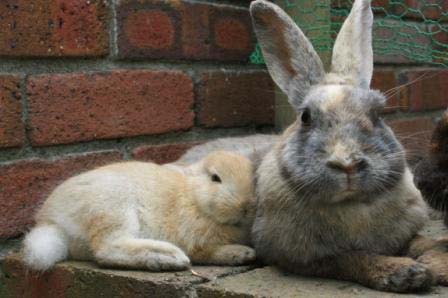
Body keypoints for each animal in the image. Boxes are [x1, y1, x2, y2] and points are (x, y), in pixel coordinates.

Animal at [22, 152, 258, 272]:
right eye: (215, 178)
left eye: (253, 176)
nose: (246, 206)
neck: (192, 197)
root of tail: (51, 222)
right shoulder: (195, 240)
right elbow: (205, 251)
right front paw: (242, 252)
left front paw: (242, 254)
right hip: (115, 209)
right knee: (107, 249)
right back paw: (169, 258)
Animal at [181, 0, 448, 294]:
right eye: (306, 117)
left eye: (377, 114)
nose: (347, 164)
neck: (351, 205)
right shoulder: (301, 257)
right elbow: (352, 258)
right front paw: (406, 273)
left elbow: (417, 241)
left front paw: (430, 260)